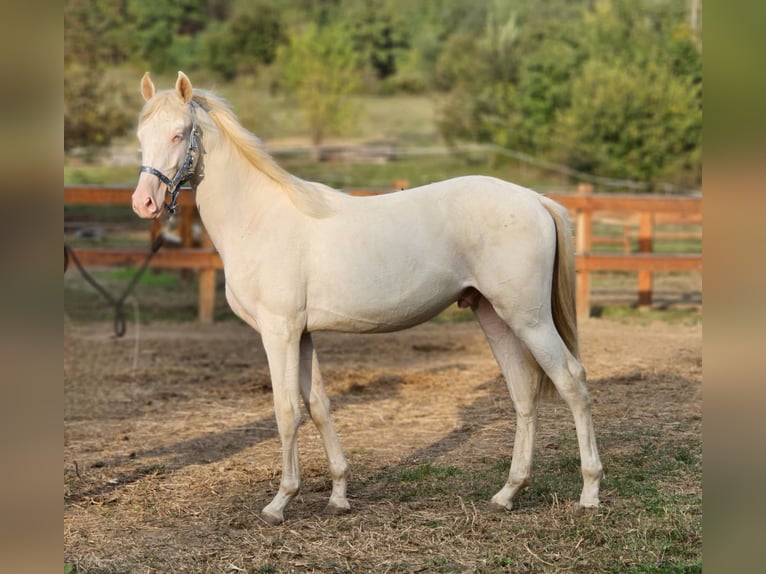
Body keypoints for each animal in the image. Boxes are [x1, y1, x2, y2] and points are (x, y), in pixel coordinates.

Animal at [132, 72, 604, 528]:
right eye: (141, 135)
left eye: (178, 133)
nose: (144, 203)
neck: (259, 218)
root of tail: (535, 200)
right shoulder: (303, 335)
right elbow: (319, 406)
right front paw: (339, 496)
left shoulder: (279, 332)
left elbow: (287, 411)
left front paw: (280, 502)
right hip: (494, 317)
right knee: (524, 394)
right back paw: (507, 494)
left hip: (529, 319)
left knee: (571, 382)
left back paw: (589, 493)